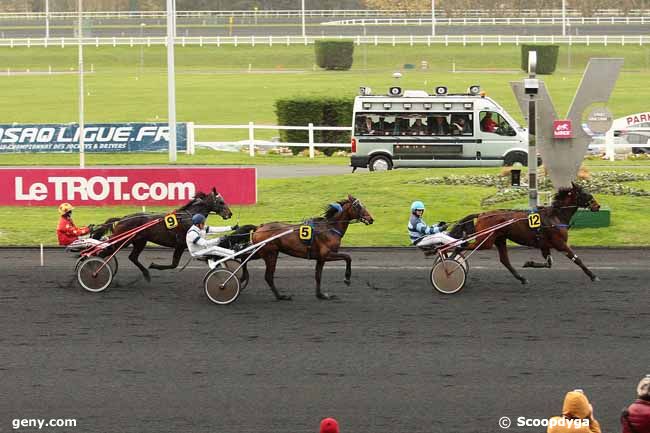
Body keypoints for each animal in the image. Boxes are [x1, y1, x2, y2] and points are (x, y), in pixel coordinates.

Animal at [90, 187, 233, 282]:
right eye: (221, 202)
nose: (230, 214)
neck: (189, 217)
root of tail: (122, 219)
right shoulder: (181, 244)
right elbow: (174, 264)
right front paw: (154, 265)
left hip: (139, 241)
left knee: (132, 257)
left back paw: (146, 274)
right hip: (123, 240)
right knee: (103, 253)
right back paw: (94, 272)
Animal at [224, 196, 372, 300]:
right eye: (359, 207)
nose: (371, 219)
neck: (329, 228)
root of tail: (259, 227)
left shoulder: (320, 258)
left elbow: (318, 276)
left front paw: (321, 295)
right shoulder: (327, 254)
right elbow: (348, 257)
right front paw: (347, 279)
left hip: (261, 251)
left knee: (244, 257)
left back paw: (242, 277)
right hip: (270, 254)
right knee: (268, 276)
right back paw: (280, 296)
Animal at [448, 182, 600, 284]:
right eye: (585, 193)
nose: (597, 206)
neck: (556, 216)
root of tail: (481, 214)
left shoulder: (545, 245)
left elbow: (549, 263)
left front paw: (529, 263)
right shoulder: (559, 243)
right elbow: (577, 259)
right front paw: (593, 275)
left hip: (499, 239)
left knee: (504, 260)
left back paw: (522, 278)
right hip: (486, 241)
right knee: (461, 246)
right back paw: (451, 263)